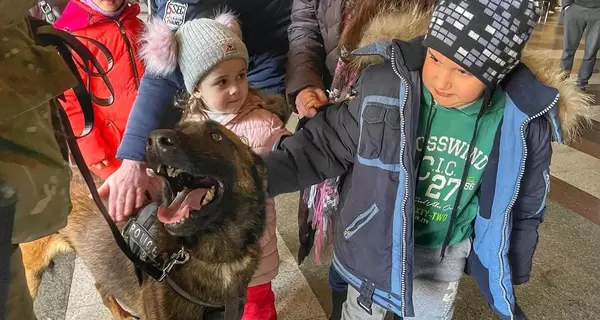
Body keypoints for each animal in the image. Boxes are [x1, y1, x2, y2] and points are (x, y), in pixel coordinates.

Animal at [21, 119, 268, 318]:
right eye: (178, 127)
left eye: (217, 136)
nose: (155, 139)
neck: (216, 256)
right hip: (30, 274)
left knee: (101, 286)